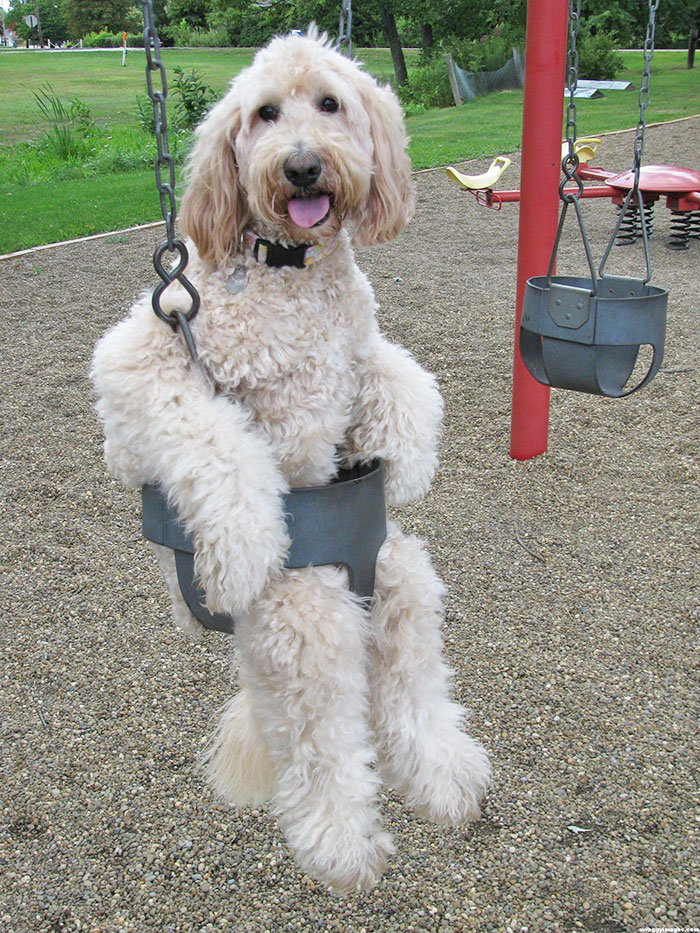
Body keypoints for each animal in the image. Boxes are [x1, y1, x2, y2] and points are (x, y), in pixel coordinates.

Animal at [90, 27, 490, 888]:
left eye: (330, 104)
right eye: (266, 113)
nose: (302, 165)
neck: (289, 269)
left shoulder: (357, 346)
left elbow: (401, 377)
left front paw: (410, 457)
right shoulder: (139, 362)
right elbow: (212, 438)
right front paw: (242, 546)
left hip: (393, 566)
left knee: (407, 662)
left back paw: (441, 772)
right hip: (300, 612)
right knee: (319, 730)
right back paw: (340, 838)